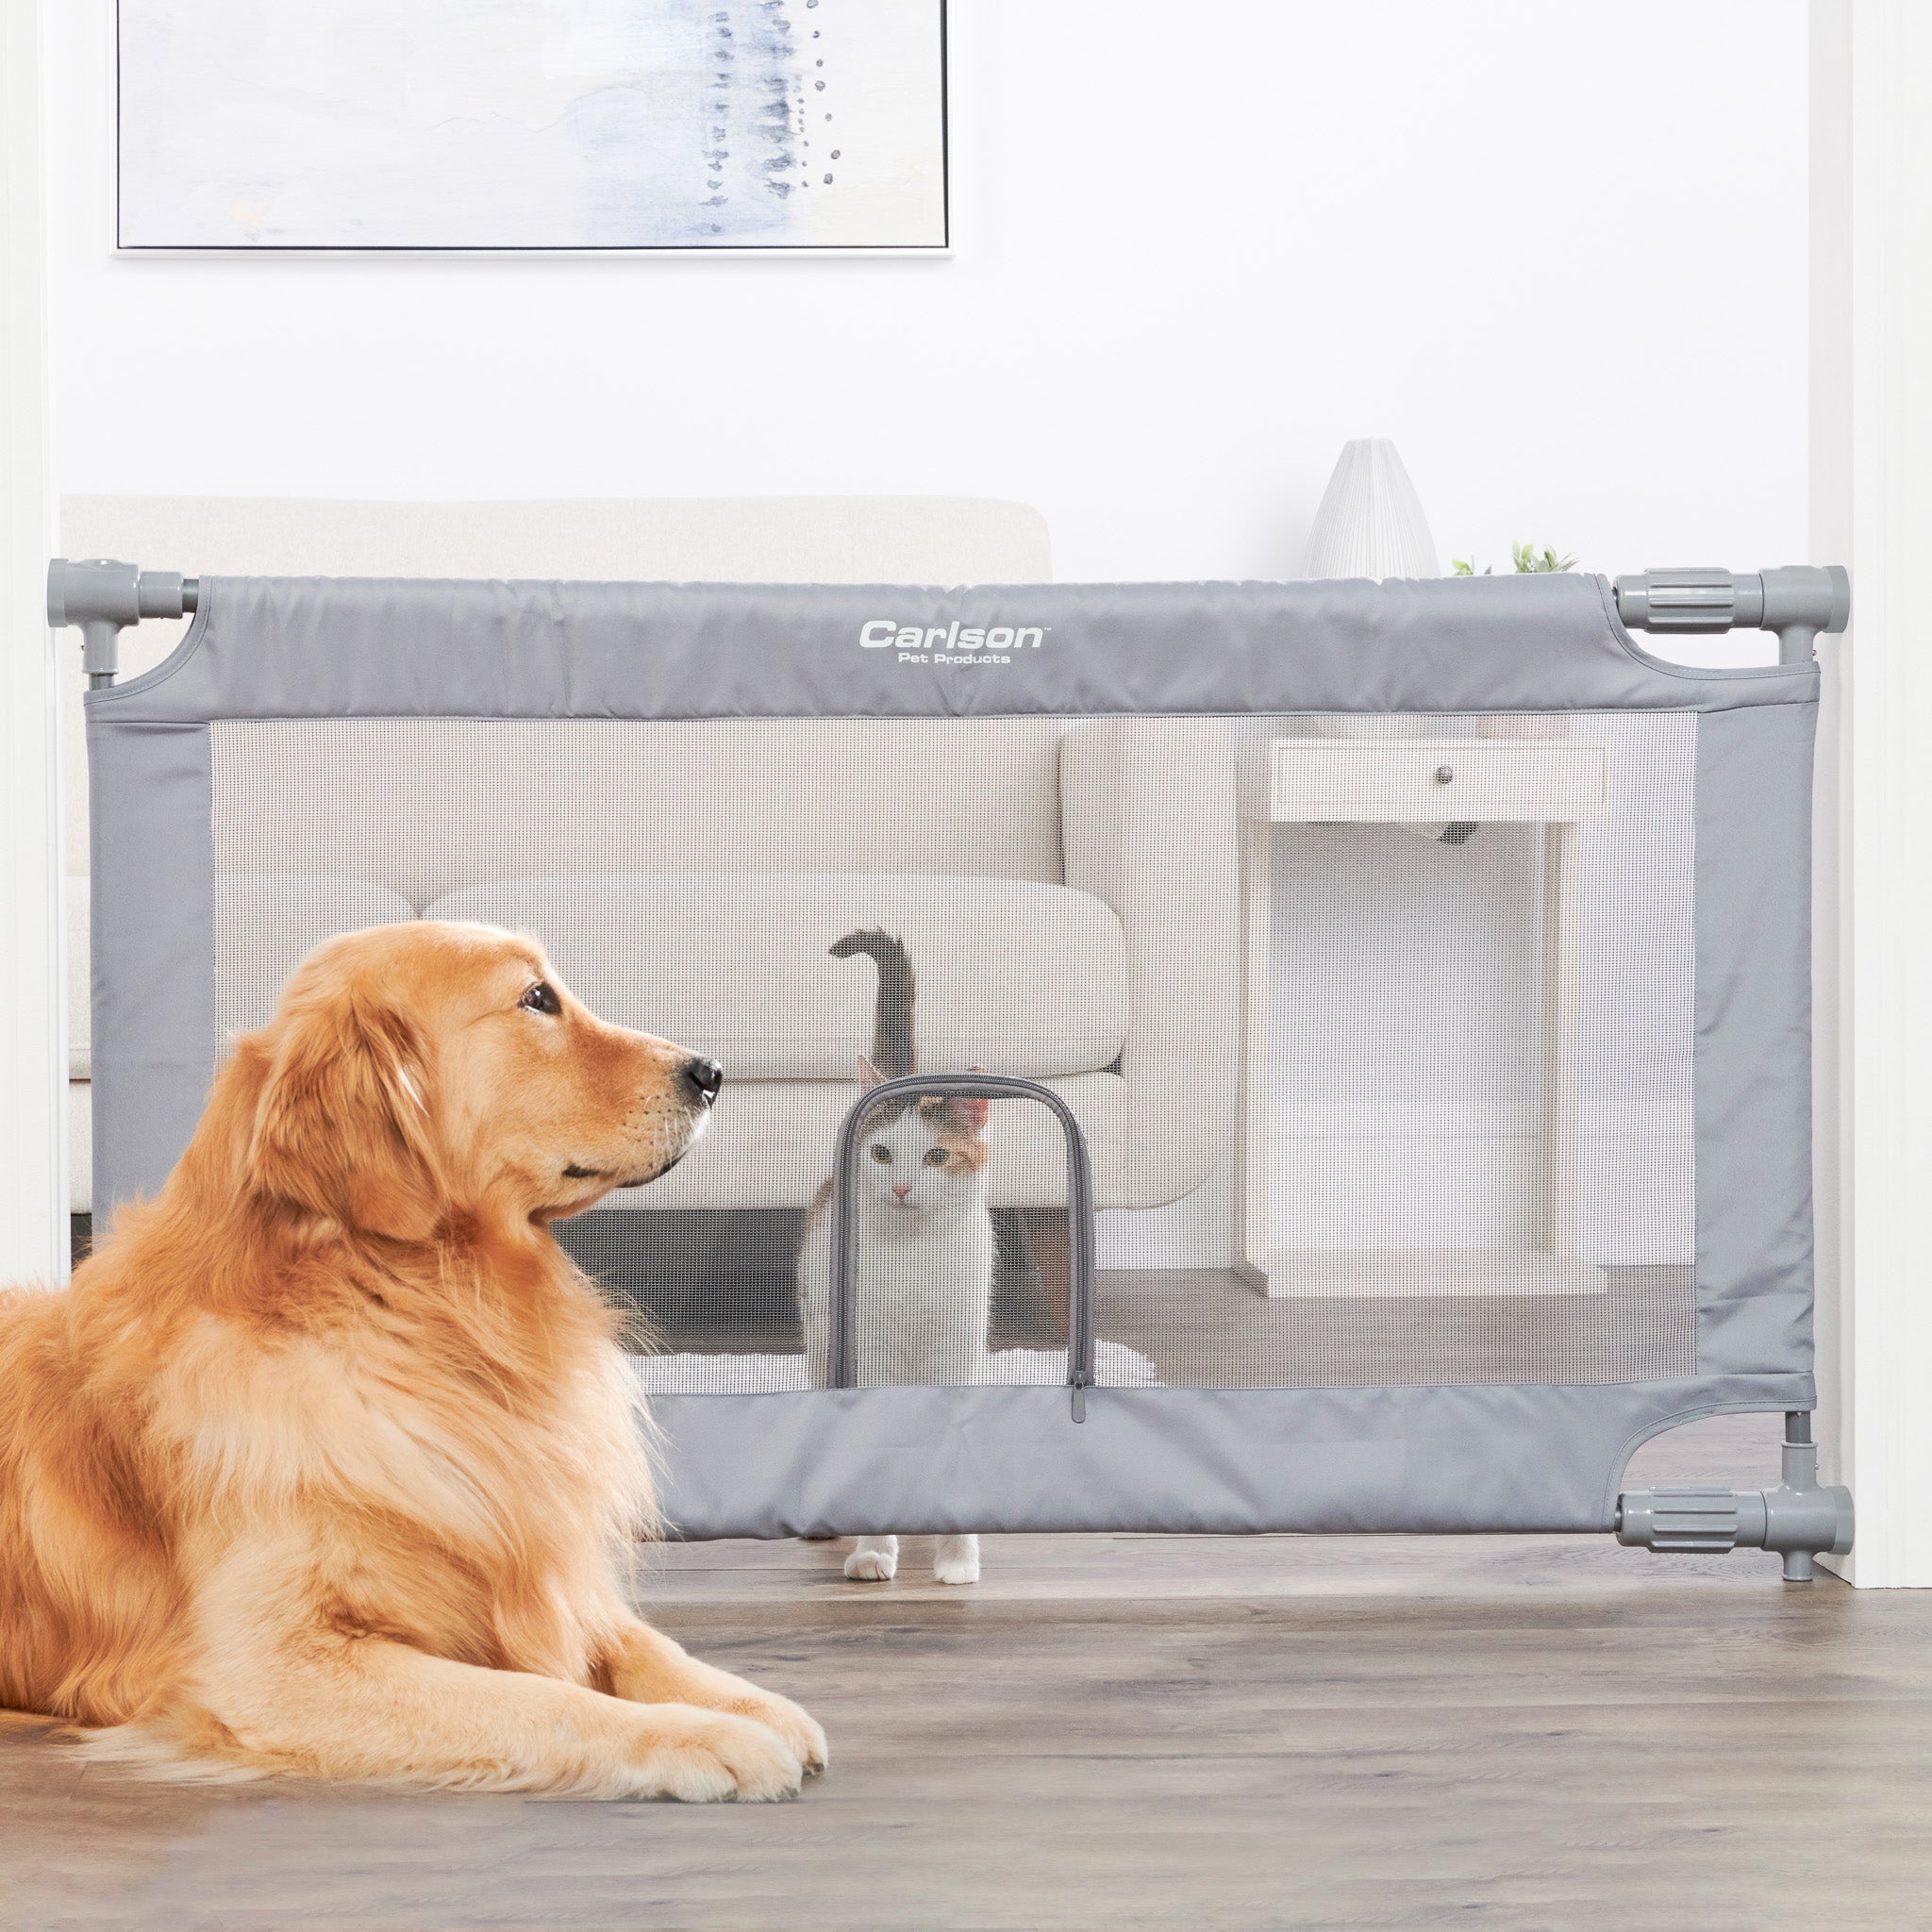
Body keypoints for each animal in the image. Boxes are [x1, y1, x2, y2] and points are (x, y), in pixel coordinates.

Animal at [0, 919, 823, 1792]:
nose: (712, 1073)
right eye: (537, 998)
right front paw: (702, 1736)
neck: (415, 1312)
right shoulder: (275, 1666)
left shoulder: (542, 1558)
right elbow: (540, 1699)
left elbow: (639, 1639)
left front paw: (750, 1703)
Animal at [795, 931, 989, 1584]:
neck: (911, 1256)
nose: (902, 1187)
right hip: (823, 1335)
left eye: (935, 1156)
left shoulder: (958, 1349)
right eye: (881, 1153)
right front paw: (875, 1549)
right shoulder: (867, 1346)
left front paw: (957, 1555)